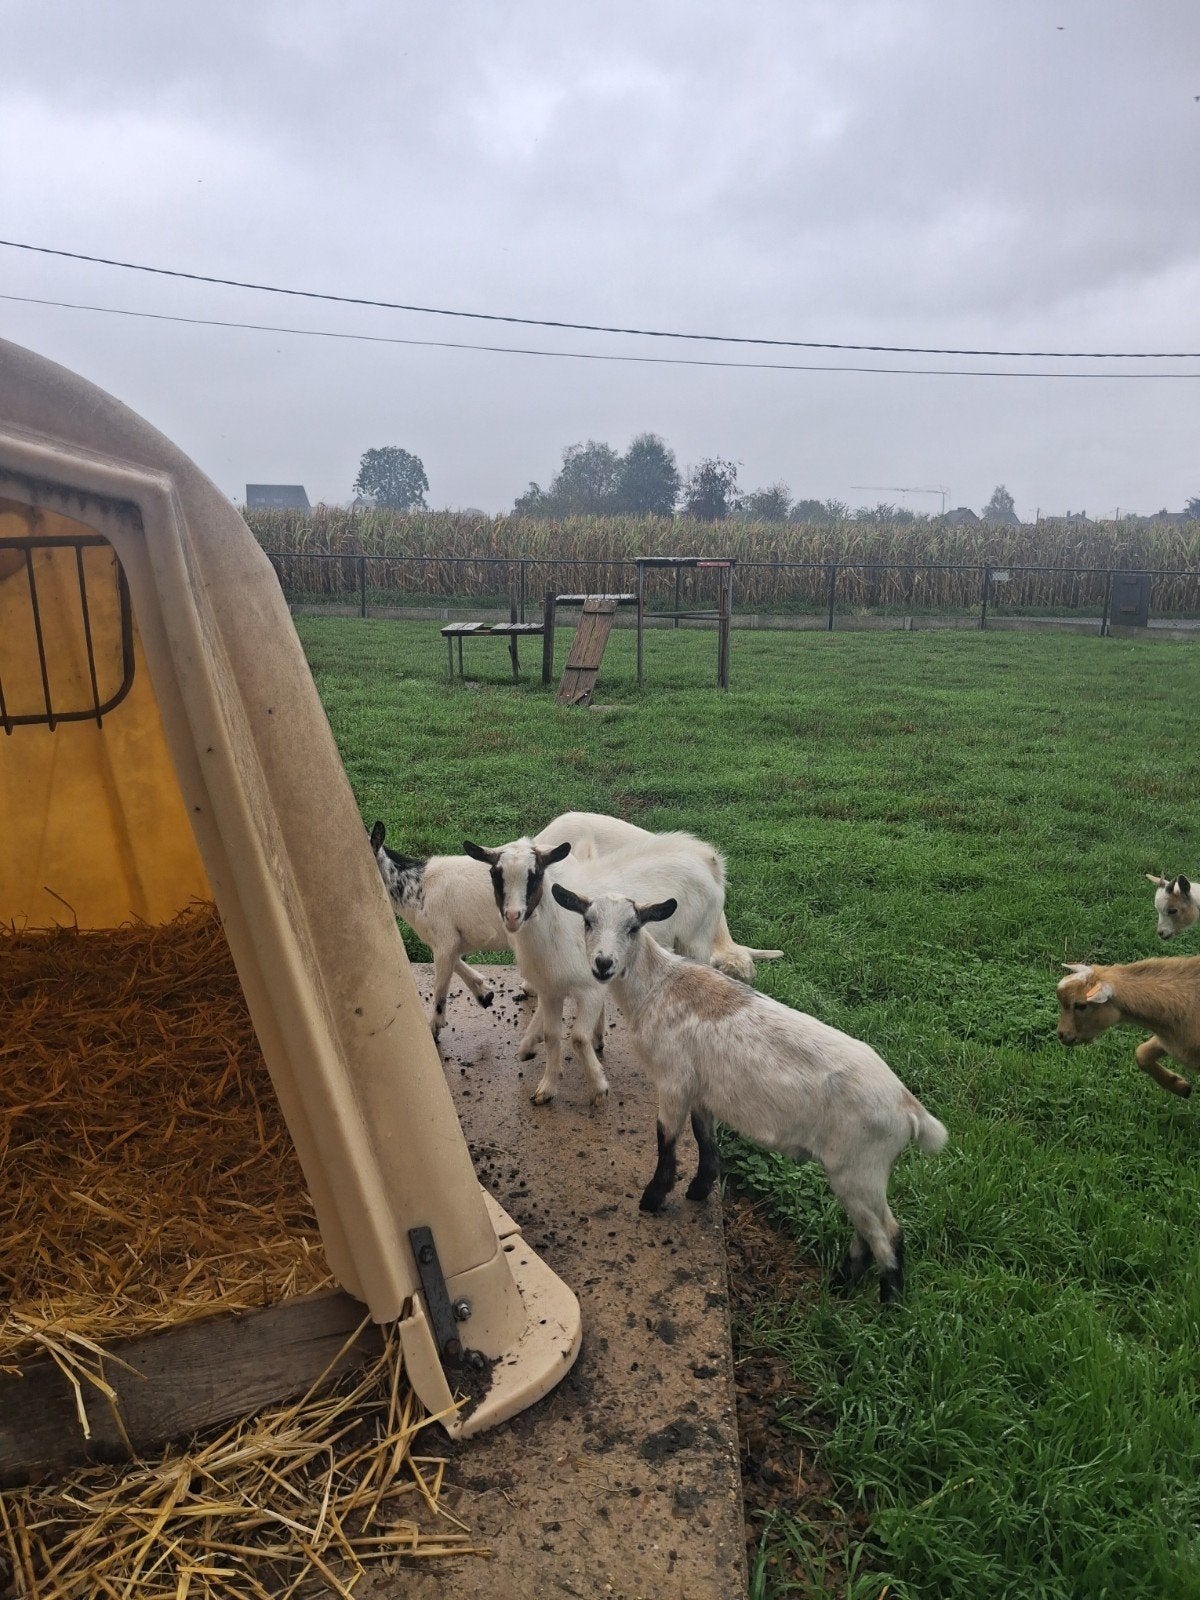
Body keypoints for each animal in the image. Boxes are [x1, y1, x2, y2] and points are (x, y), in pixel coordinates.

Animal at [462, 836, 725, 1108]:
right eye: (495, 874)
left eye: (535, 875)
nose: (513, 916)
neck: (555, 928)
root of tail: (707, 858)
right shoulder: (550, 991)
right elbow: (553, 1035)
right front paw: (547, 1088)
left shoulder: (591, 990)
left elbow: (578, 1038)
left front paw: (599, 1088)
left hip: (696, 941)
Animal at [552, 886, 948, 1302]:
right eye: (588, 921)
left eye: (633, 927)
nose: (603, 965)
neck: (659, 986)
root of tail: (909, 1108)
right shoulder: (701, 1090)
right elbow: (704, 1138)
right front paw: (699, 1189)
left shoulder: (674, 1081)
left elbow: (666, 1139)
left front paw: (653, 1198)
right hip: (861, 1173)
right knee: (868, 1233)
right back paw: (840, 1287)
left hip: (861, 1167)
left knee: (888, 1237)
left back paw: (889, 1305)